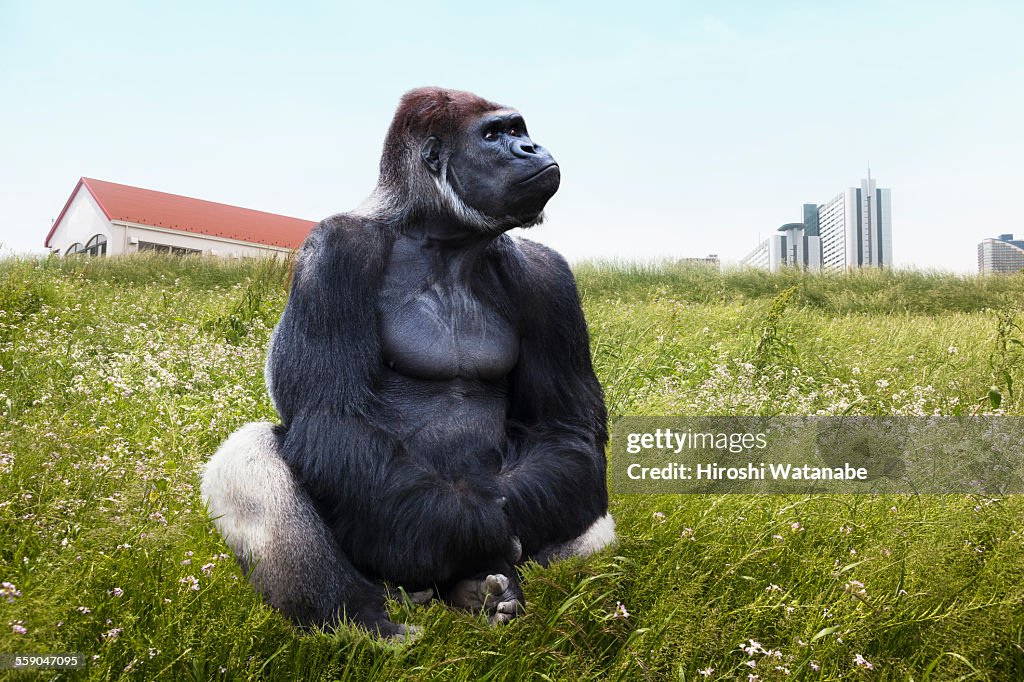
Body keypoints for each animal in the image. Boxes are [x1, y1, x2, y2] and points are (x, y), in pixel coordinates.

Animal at [200, 86, 614, 638]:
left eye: (519, 130)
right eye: (495, 134)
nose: (531, 148)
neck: (441, 237)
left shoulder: (548, 275)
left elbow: (563, 429)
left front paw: (493, 533)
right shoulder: (334, 249)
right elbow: (335, 418)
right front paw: (478, 528)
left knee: (584, 510)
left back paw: (476, 594)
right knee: (249, 455)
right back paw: (366, 622)